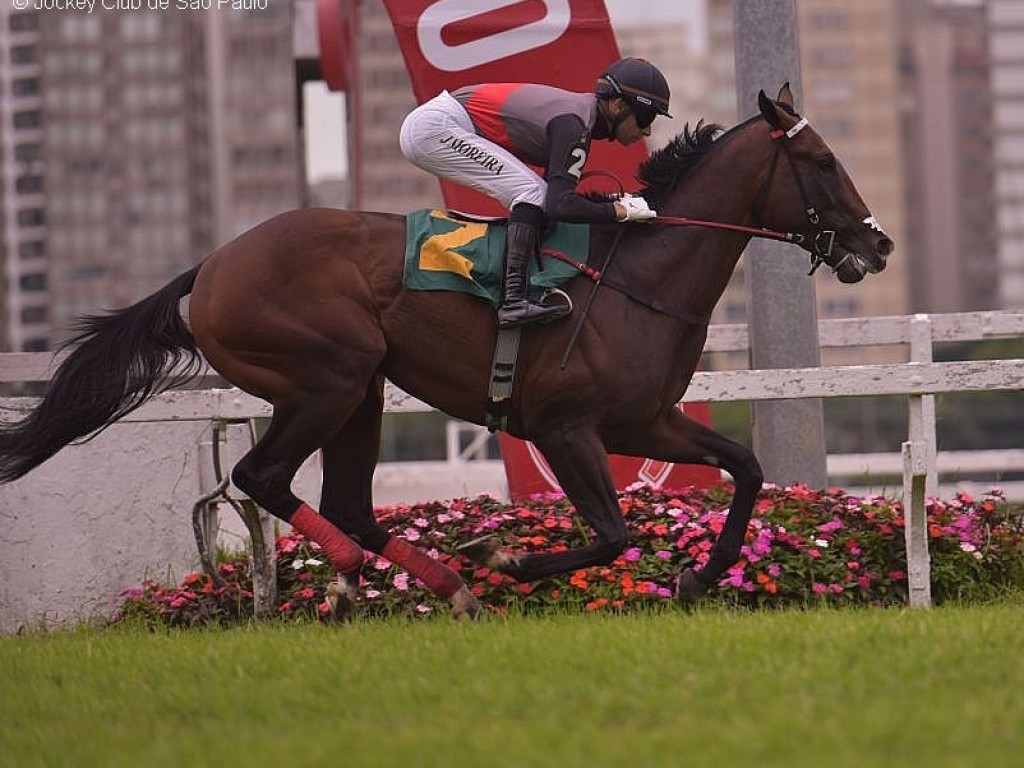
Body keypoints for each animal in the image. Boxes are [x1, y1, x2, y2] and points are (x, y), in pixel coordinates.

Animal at [0, 88, 888, 618]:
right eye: (822, 163)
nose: (877, 244)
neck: (635, 279)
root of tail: (212, 266)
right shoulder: (565, 427)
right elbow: (611, 534)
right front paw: (505, 554)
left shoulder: (645, 423)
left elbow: (746, 467)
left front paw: (700, 574)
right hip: (329, 376)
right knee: (262, 477)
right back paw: (381, 570)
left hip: (359, 391)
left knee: (345, 499)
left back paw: (441, 583)